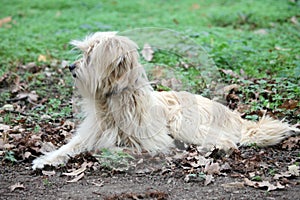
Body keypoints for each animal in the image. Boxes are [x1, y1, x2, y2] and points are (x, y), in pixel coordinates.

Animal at [32, 32, 298, 170]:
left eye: (90, 56)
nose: (71, 66)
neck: (113, 103)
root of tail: (232, 114)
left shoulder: (156, 142)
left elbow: (113, 147)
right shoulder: (90, 134)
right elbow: (70, 147)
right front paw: (47, 159)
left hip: (182, 120)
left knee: (228, 141)